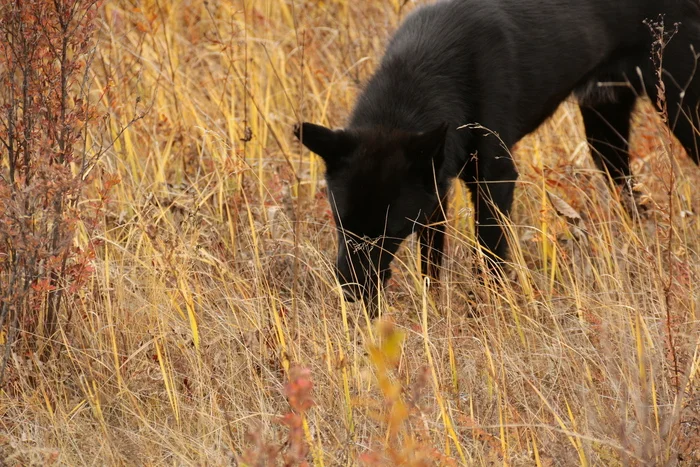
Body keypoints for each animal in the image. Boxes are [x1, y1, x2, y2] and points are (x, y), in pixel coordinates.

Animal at [296, 0, 700, 310]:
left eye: (389, 233)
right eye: (340, 223)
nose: (352, 294)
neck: (424, 72)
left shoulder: (495, 179)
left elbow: (489, 255)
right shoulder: (436, 191)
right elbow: (432, 262)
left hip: (683, 111)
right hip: (604, 129)